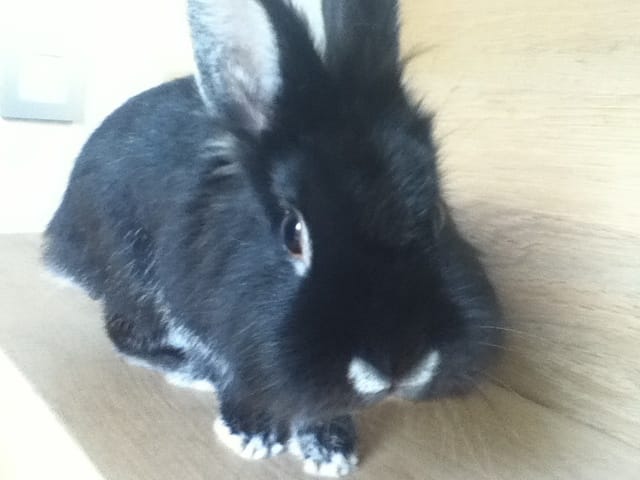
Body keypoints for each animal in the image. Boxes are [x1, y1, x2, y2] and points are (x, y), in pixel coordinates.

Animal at [43, 0, 503, 476]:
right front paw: (251, 433)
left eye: (438, 214)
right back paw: (186, 369)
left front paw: (331, 448)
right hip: (130, 276)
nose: (400, 365)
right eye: (292, 233)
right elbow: (234, 373)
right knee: (123, 332)